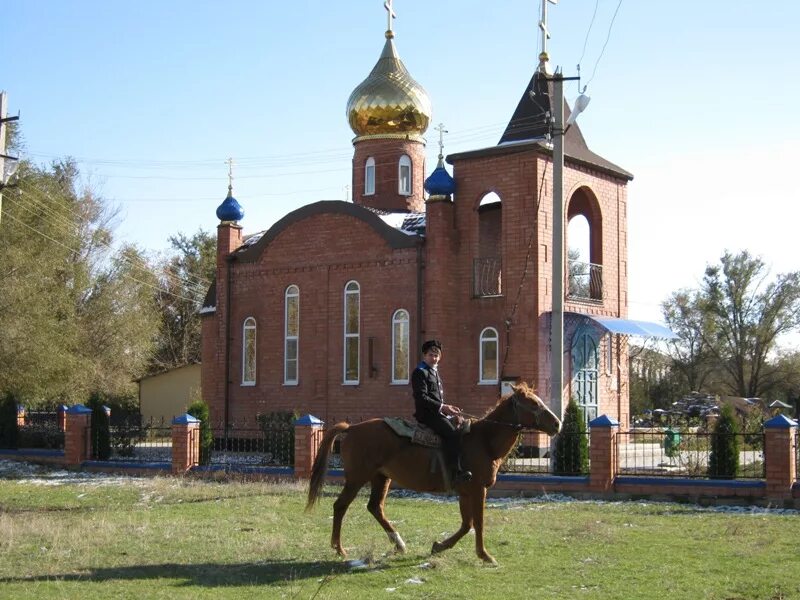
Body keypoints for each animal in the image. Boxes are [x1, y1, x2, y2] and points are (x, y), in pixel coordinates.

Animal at [306, 382, 564, 564]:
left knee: (375, 507)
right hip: (357, 478)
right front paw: (485, 556)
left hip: (381, 477)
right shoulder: (478, 490)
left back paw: (399, 544)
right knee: (340, 506)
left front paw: (438, 546)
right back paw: (339, 549)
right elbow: (478, 523)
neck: (484, 440)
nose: (557, 424)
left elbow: (466, 524)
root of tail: (352, 428)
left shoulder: (465, 492)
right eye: (532, 403)